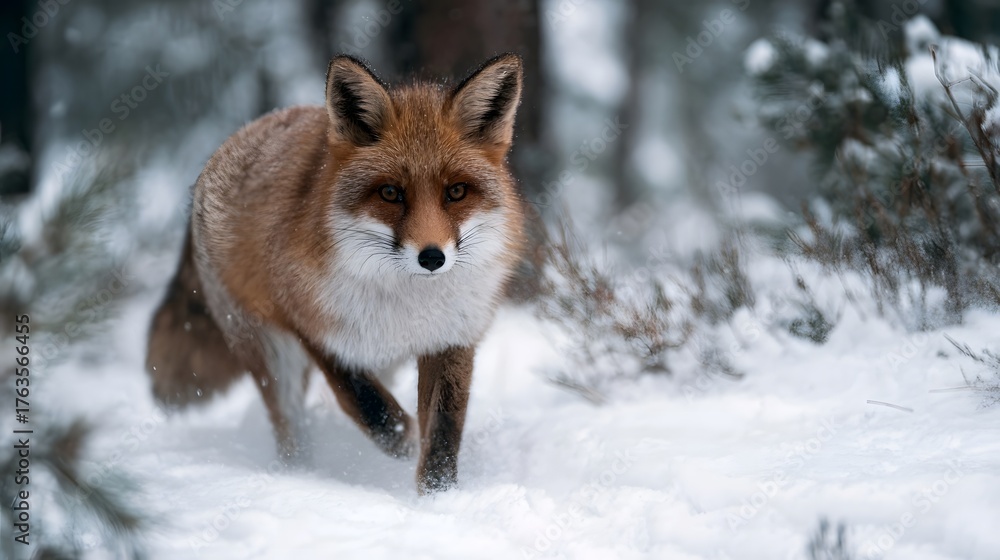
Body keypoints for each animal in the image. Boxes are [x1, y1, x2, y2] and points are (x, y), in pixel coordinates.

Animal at [145, 54, 525, 493]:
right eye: (391, 193)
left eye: (457, 192)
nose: (432, 258)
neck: (408, 301)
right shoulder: (314, 326)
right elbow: (364, 401)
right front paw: (399, 438)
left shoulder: (452, 337)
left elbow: (444, 431)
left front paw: (438, 496)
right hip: (271, 353)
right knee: (290, 429)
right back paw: (300, 475)